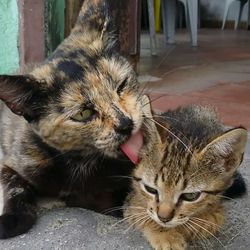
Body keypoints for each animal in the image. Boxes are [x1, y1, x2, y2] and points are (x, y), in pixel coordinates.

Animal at [0, 0, 144, 238]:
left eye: (122, 85)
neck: (82, 164)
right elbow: (14, 184)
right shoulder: (10, 160)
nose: (126, 124)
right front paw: (12, 220)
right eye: (83, 113)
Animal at [124, 98, 247, 250]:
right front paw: (167, 235)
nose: (164, 218)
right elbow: (143, 214)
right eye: (150, 189)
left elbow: (213, 219)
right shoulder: (132, 201)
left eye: (191, 196)